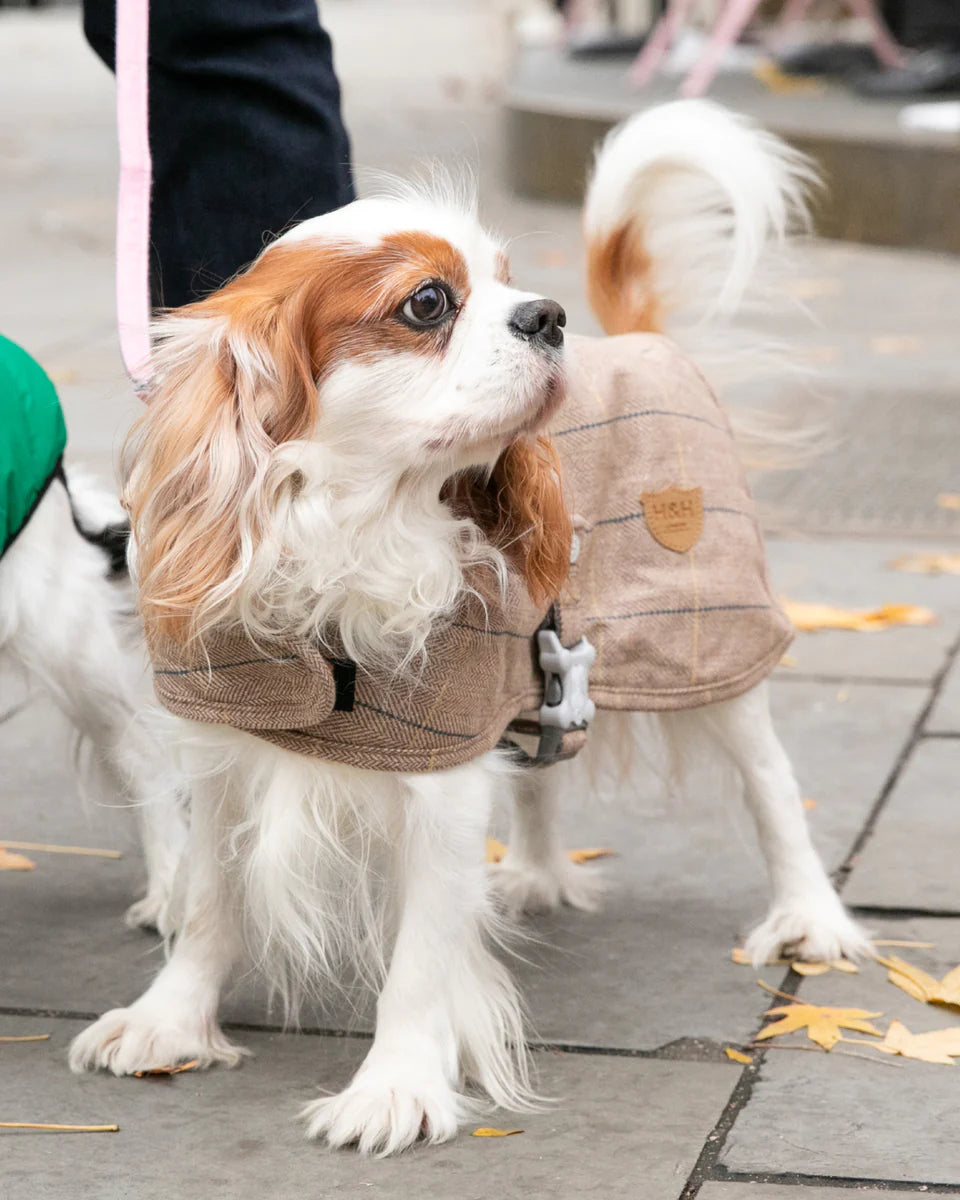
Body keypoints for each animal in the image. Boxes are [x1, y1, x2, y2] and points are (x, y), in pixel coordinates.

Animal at [69, 100, 868, 1152]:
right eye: (427, 304)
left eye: (509, 279)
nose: (549, 314)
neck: (354, 532)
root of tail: (641, 341)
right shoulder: (225, 751)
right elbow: (208, 904)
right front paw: (169, 1021)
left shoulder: (438, 782)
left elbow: (421, 958)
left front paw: (395, 1089)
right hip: (552, 666)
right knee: (546, 764)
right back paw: (532, 871)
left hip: (712, 638)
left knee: (771, 784)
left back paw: (810, 918)